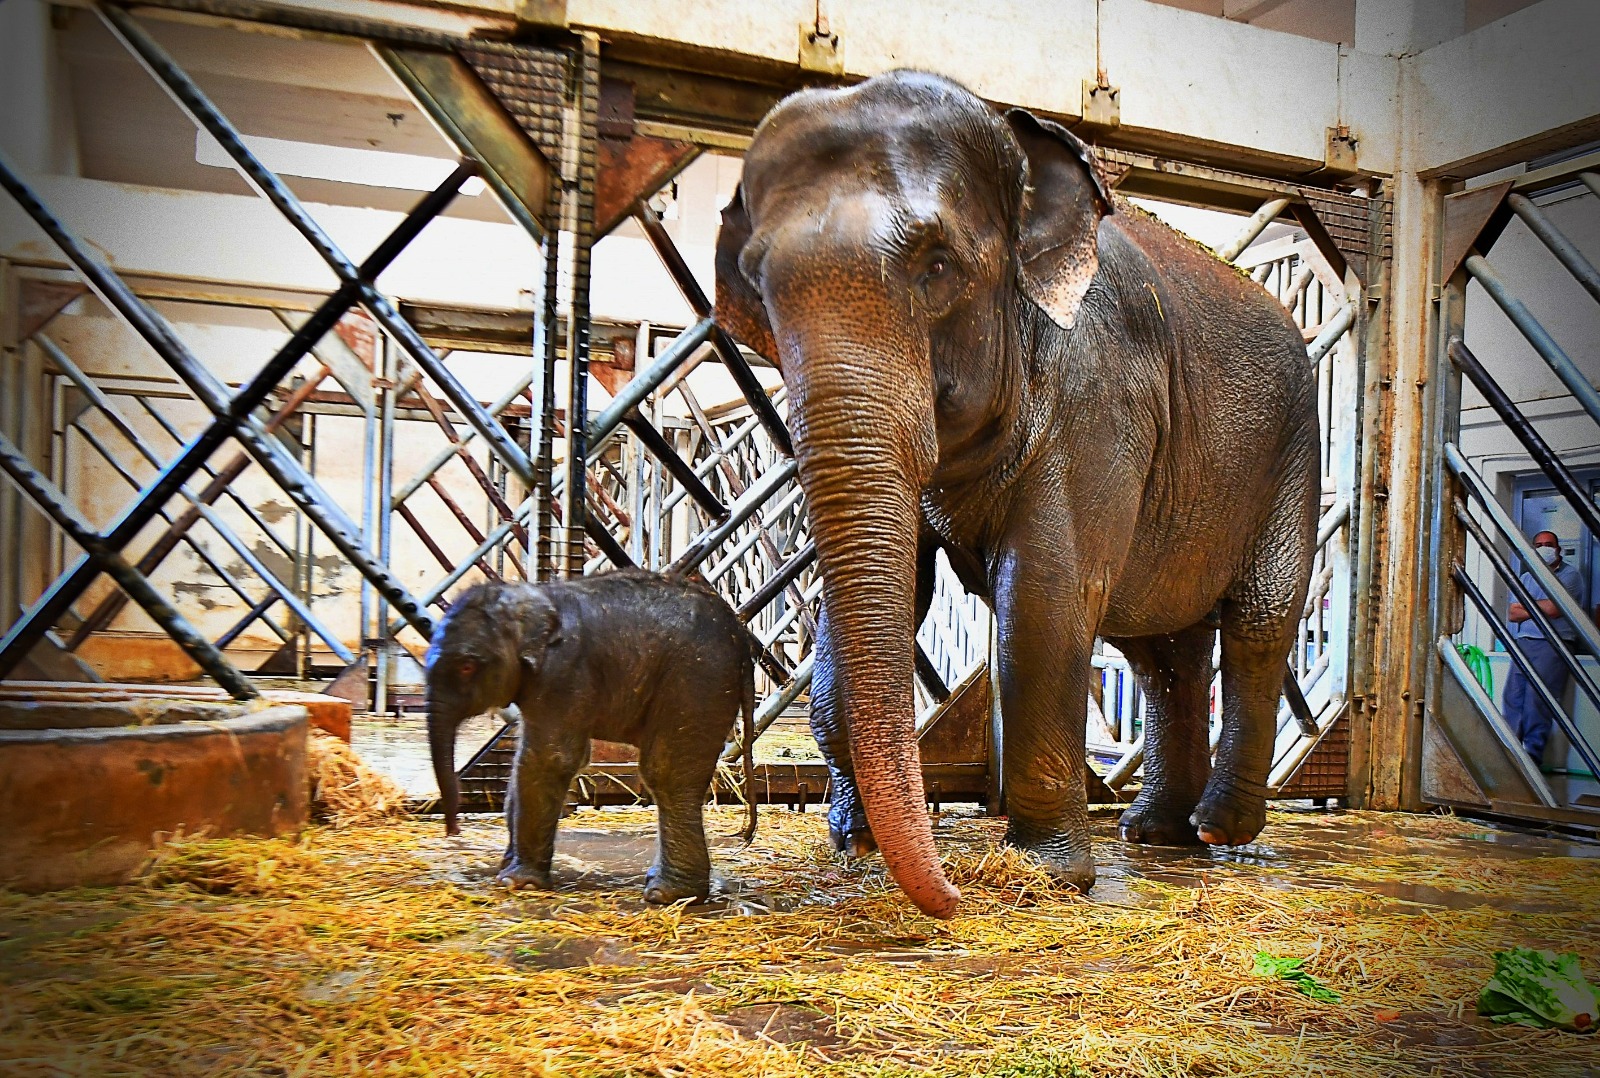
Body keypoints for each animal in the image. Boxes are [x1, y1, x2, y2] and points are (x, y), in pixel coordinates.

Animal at [422, 566, 752, 902]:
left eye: (466, 666)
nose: (453, 831)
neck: (534, 597)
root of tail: (740, 637)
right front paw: (507, 868)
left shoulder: (563, 672)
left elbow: (548, 758)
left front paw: (517, 883)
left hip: (696, 681)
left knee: (667, 773)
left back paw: (667, 894)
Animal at [713, 69, 1312, 914]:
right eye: (759, 289)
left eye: (936, 266)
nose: (953, 897)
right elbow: (895, 588)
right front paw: (854, 843)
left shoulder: (1101, 389)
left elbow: (1046, 594)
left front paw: (1042, 874)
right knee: (1162, 651)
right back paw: (1156, 833)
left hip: (1293, 447)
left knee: (1256, 622)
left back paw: (1218, 830)